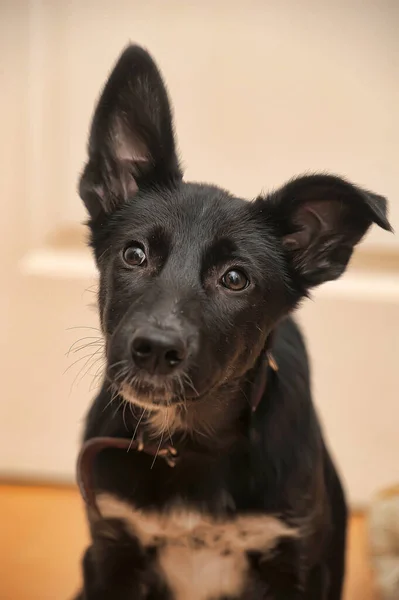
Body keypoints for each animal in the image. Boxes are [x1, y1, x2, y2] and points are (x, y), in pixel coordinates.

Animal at [73, 44, 392, 596]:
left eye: (236, 279)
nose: (155, 349)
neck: (187, 444)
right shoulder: (110, 552)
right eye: (133, 254)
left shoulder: (298, 563)